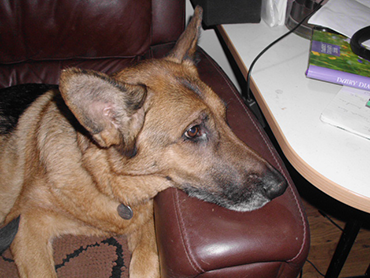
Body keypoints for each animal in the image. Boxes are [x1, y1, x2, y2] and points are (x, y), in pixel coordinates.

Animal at [0, 7, 286, 276]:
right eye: (193, 131)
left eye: (225, 116)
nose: (281, 187)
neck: (100, 179)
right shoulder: (27, 224)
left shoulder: (146, 222)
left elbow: (145, 259)